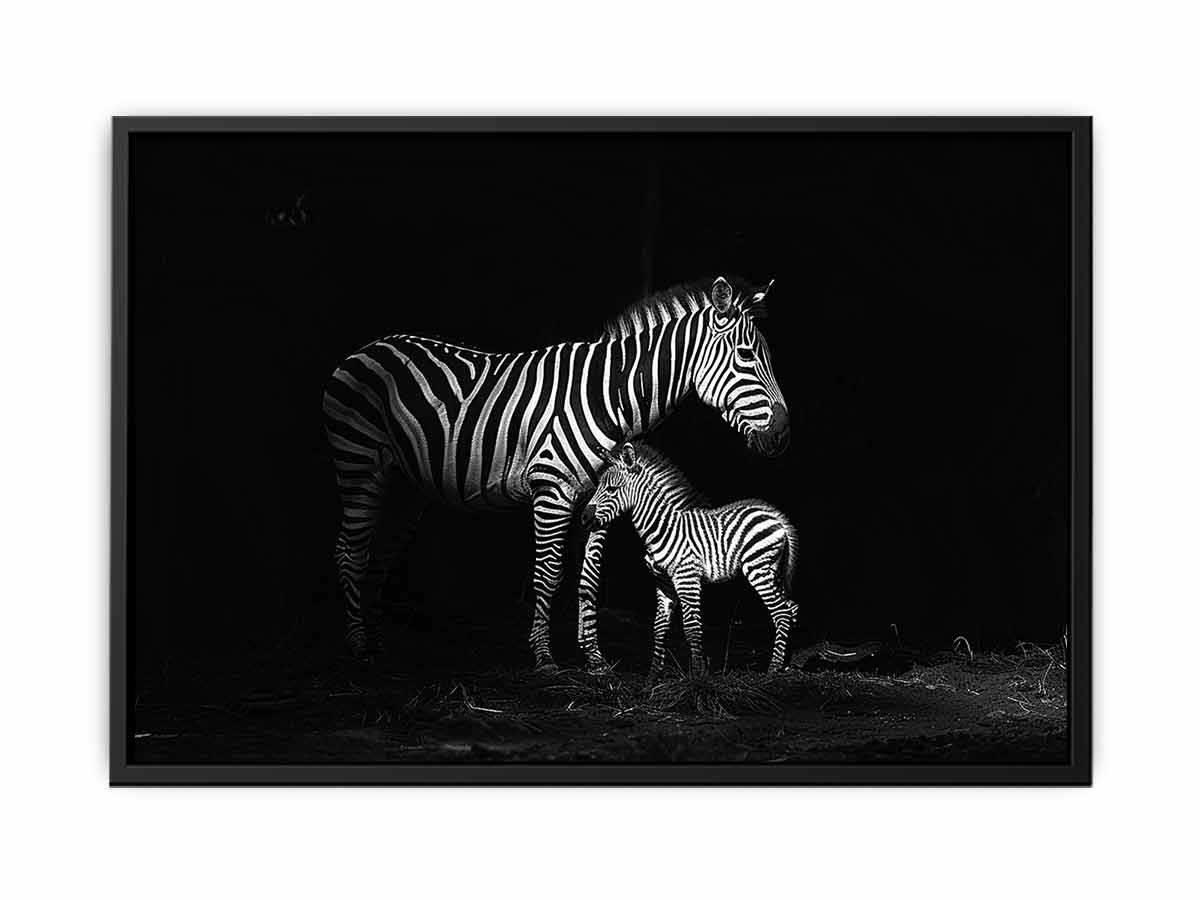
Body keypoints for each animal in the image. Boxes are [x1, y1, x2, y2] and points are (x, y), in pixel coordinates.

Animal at [581, 442, 799, 676]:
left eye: (611, 490)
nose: (584, 518)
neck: (662, 528)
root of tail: (777, 517)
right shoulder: (663, 582)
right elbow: (659, 627)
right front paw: (653, 676)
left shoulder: (687, 578)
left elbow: (692, 628)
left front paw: (697, 676)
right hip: (773, 571)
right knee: (791, 608)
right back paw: (786, 662)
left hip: (758, 568)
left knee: (781, 612)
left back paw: (773, 669)